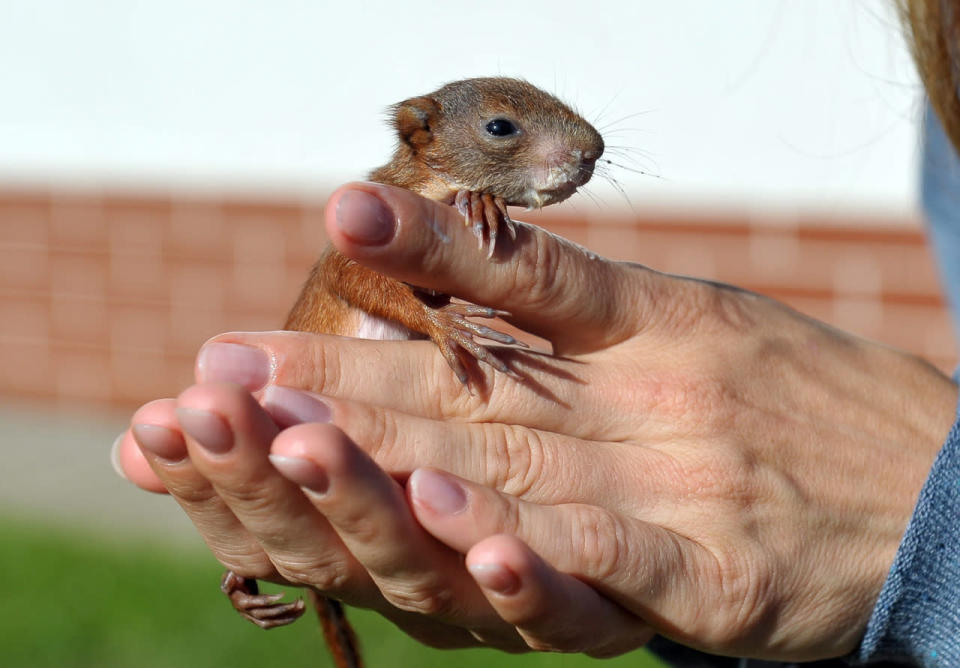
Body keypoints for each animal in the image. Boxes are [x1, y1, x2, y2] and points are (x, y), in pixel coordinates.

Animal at [221, 79, 604, 668]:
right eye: (499, 127)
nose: (594, 151)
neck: (428, 183)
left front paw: (482, 202)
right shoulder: (352, 243)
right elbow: (359, 279)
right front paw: (447, 324)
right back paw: (239, 584)